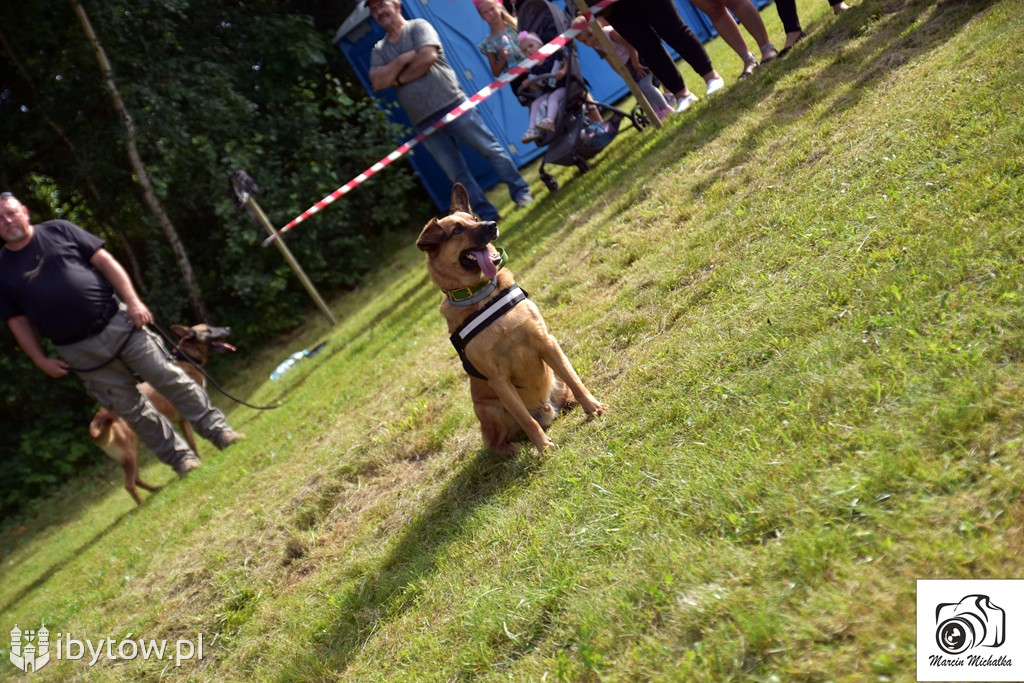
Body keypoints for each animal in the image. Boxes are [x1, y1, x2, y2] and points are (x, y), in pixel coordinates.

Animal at [88, 323, 234, 505]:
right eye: (208, 330)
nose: (228, 328)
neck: (186, 358)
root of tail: (98, 419)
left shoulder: (181, 422)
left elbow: (191, 444)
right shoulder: (187, 417)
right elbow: (193, 442)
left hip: (133, 450)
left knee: (135, 479)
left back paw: (155, 490)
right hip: (130, 452)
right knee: (129, 484)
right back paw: (142, 505)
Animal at [415, 184, 606, 456]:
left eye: (474, 219)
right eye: (457, 230)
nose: (492, 224)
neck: (482, 294)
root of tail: (548, 412)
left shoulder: (548, 343)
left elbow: (576, 380)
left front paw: (594, 407)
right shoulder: (498, 380)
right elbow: (526, 420)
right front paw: (543, 447)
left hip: (554, 376)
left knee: (566, 388)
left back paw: (570, 405)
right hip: (489, 408)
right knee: (496, 442)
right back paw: (514, 449)